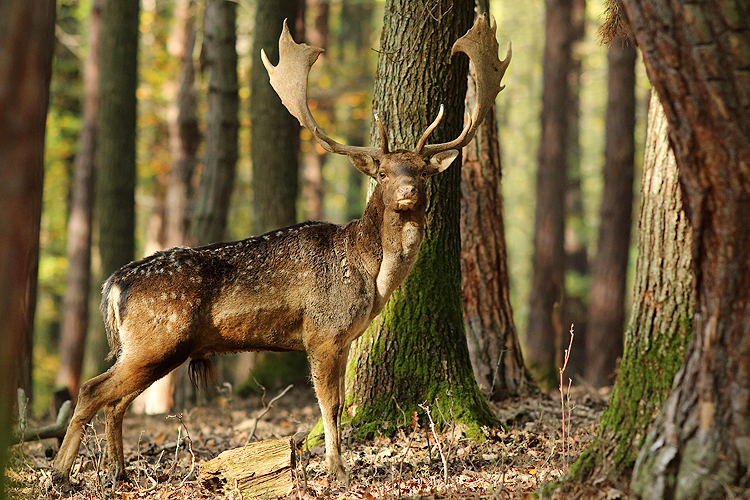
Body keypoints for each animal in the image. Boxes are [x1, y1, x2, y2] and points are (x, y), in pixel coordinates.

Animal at [51, 13, 512, 490]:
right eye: (382, 172)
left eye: (421, 170)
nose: (406, 192)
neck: (371, 274)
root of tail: (113, 284)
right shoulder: (323, 331)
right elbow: (330, 405)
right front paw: (337, 472)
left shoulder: (343, 338)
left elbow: (336, 404)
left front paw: (334, 467)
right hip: (158, 339)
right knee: (92, 390)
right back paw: (61, 474)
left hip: (147, 347)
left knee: (115, 400)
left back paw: (118, 474)